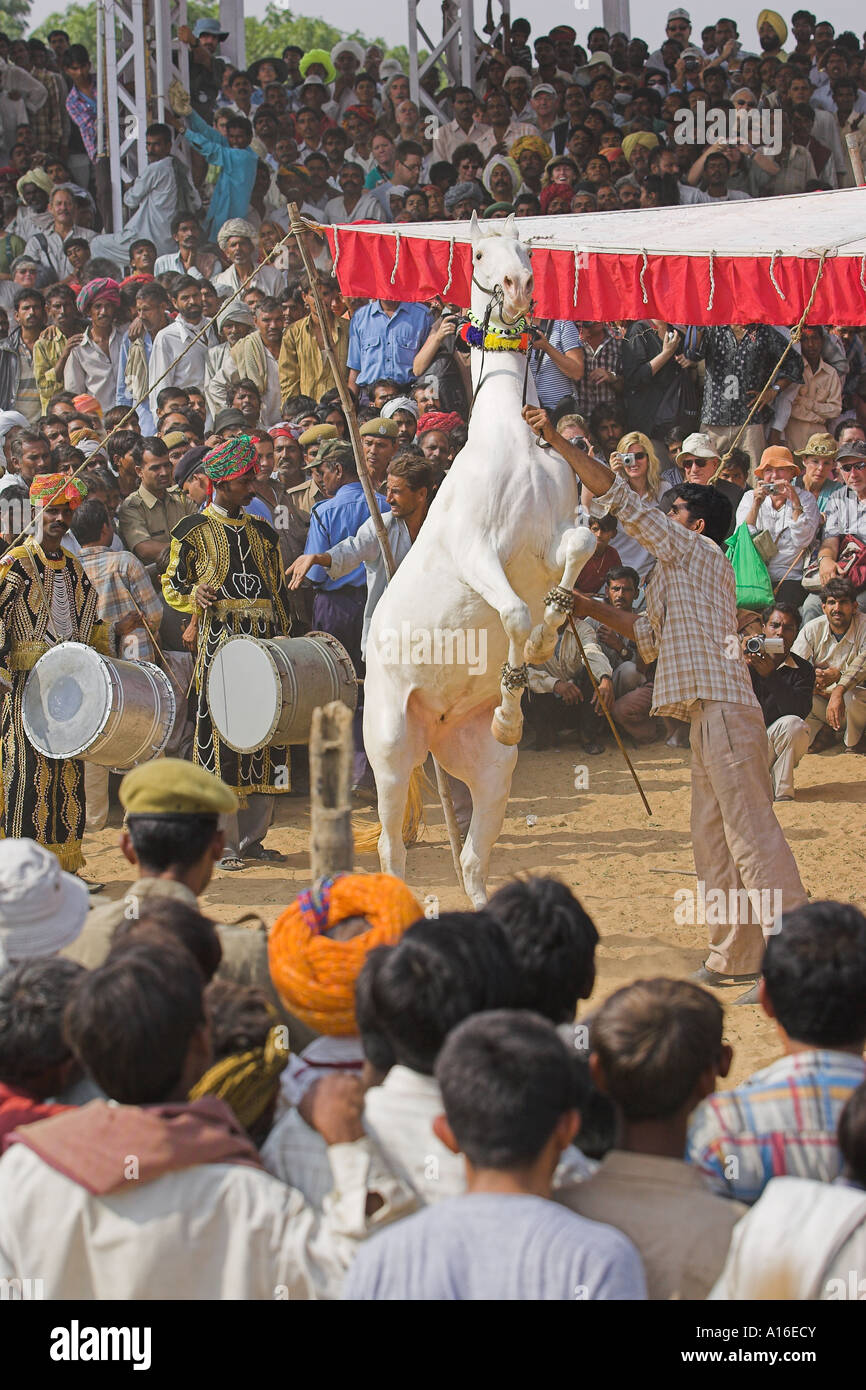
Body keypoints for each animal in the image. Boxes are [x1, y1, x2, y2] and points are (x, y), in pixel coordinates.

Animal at [361, 214, 594, 911]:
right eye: (480, 256)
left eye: (527, 251)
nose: (519, 287)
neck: (512, 441)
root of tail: (434, 729)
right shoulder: (476, 549)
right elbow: (513, 613)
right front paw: (515, 702)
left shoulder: (552, 537)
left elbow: (579, 554)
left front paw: (548, 635)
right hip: (391, 748)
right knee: (392, 851)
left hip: (485, 769)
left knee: (469, 856)